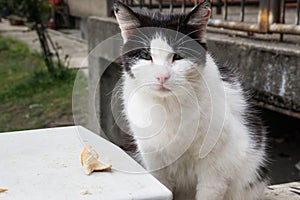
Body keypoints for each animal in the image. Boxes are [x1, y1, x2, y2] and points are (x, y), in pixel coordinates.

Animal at [113, 0, 268, 199]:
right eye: (146, 56)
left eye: (178, 56)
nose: (162, 76)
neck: (169, 106)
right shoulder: (155, 161)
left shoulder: (216, 166)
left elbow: (208, 191)